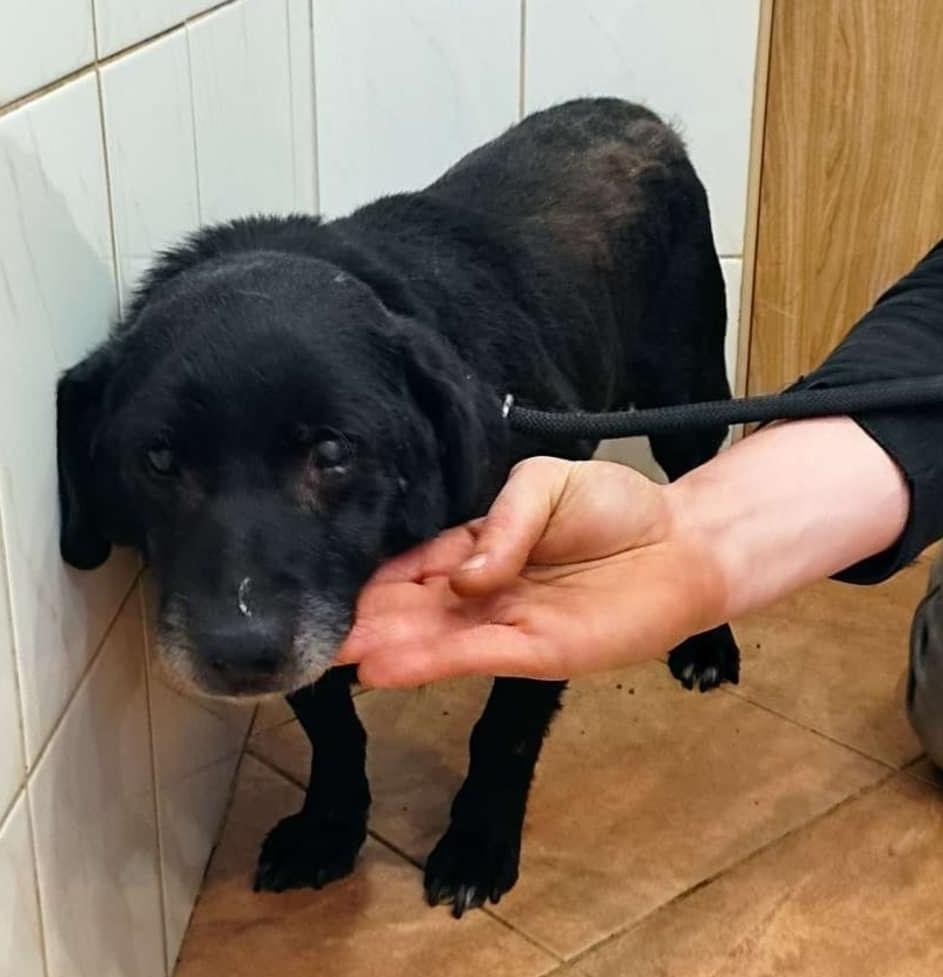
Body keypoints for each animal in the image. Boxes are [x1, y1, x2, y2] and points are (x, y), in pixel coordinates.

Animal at [57, 97, 740, 917]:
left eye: (331, 451)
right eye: (157, 459)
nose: (240, 654)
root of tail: (633, 112)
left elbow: (504, 728)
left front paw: (478, 842)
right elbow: (332, 728)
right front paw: (329, 826)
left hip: (687, 399)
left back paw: (707, 643)